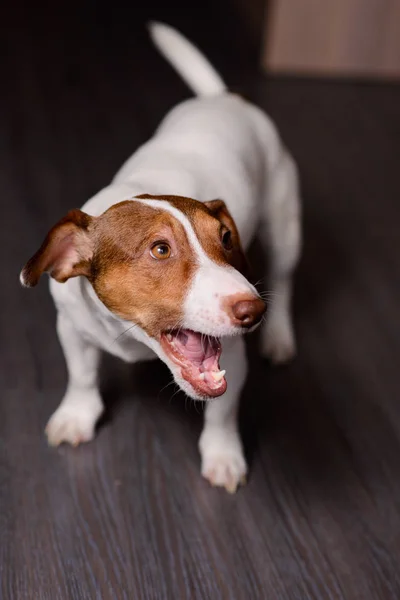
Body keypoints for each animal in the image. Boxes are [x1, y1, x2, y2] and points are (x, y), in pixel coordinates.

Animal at [18, 22, 300, 492]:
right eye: (160, 249)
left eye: (226, 238)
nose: (253, 310)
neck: (134, 338)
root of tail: (222, 98)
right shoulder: (71, 328)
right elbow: (81, 375)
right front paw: (76, 415)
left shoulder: (231, 356)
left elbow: (222, 411)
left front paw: (223, 455)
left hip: (285, 226)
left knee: (284, 277)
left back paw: (278, 334)